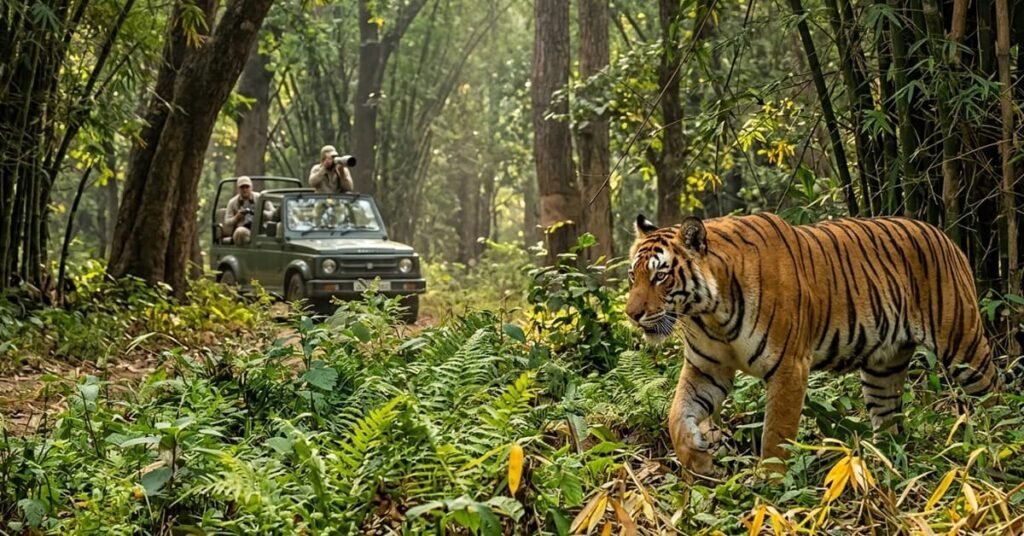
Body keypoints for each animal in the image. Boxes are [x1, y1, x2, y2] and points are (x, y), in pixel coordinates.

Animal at [625, 212, 1009, 476]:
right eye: (633, 276)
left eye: (660, 276)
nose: (631, 314)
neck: (709, 313)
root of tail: (945, 236)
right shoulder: (707, 368)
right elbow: (677, 415)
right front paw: (699, 458)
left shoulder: (789, 367)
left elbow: (777, 433)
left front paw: (769, 485)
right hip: (882, 369)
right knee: (890, 422)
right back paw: (883, 465)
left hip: (963, 346)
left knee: (993, 395)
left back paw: (997, 447)